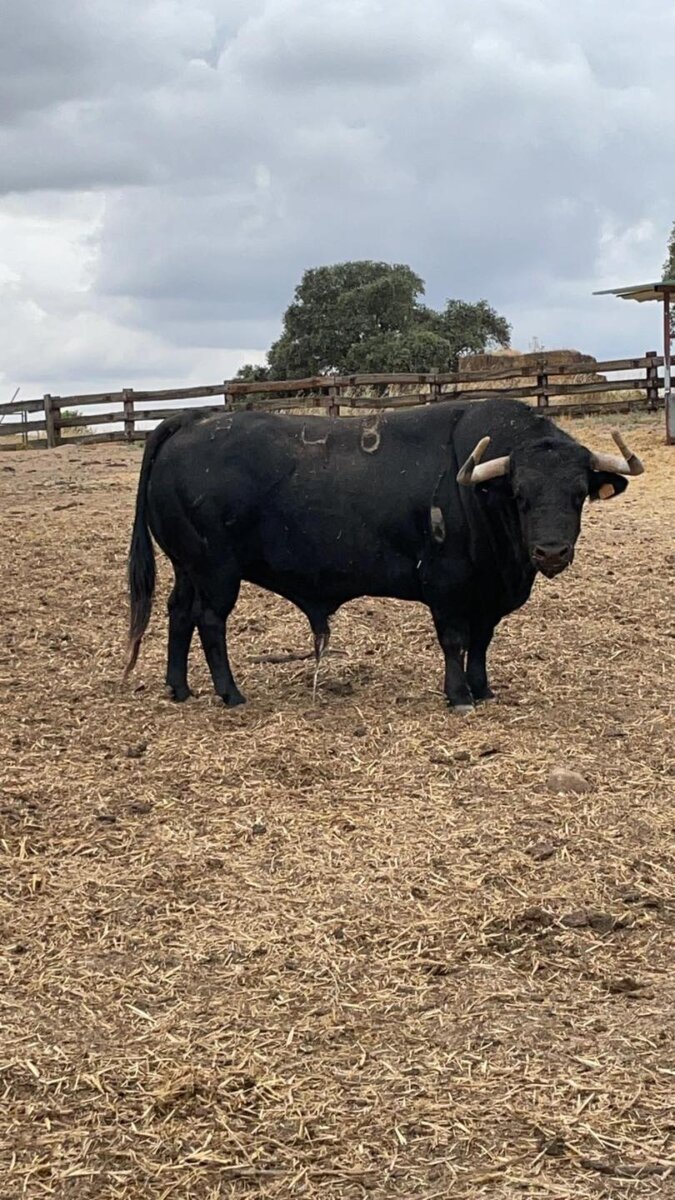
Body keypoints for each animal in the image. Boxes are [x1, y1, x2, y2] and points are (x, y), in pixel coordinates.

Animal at [124, 398, 643, 713]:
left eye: (578, 494)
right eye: (520, 494)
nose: (551, 551)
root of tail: (191, 420)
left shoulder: (488, 596)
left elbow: (481, 643)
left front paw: (482, 688)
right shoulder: (447, 587)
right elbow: (455, 641)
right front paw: (459, 695)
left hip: (188, 567)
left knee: (178, 613)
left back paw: (179, 686)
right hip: (216, 570)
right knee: (210, 621)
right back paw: (230, 693)